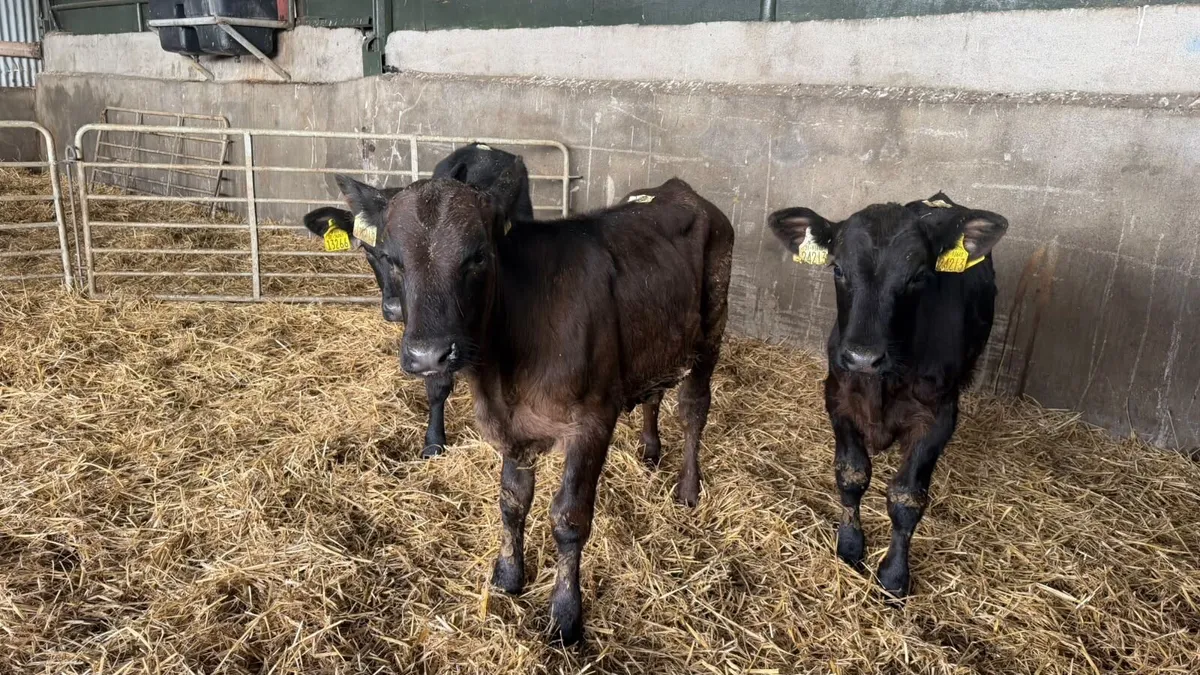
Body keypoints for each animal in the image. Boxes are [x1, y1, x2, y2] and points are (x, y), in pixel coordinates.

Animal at [331, 170, 734, 645]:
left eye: (478, 256)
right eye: (389, 257)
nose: (429, 355)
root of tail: (680, 189)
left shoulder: (593, 421)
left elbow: (569, 518)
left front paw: (566, 615)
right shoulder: (509, 425)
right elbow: (512, 500)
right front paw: (508, 575)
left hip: (711, 330)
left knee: (693, 408)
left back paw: (688, 488)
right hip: (656, 339)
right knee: (654, 392)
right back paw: (650, 451)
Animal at [768, 192, 1008, 598]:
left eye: (919, 276)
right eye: (838, 269)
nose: (863, 356)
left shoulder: (938, 417)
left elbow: (906, 496)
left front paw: (894, 576)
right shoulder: (837, 397)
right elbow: (851, 475)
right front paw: (850, 547)